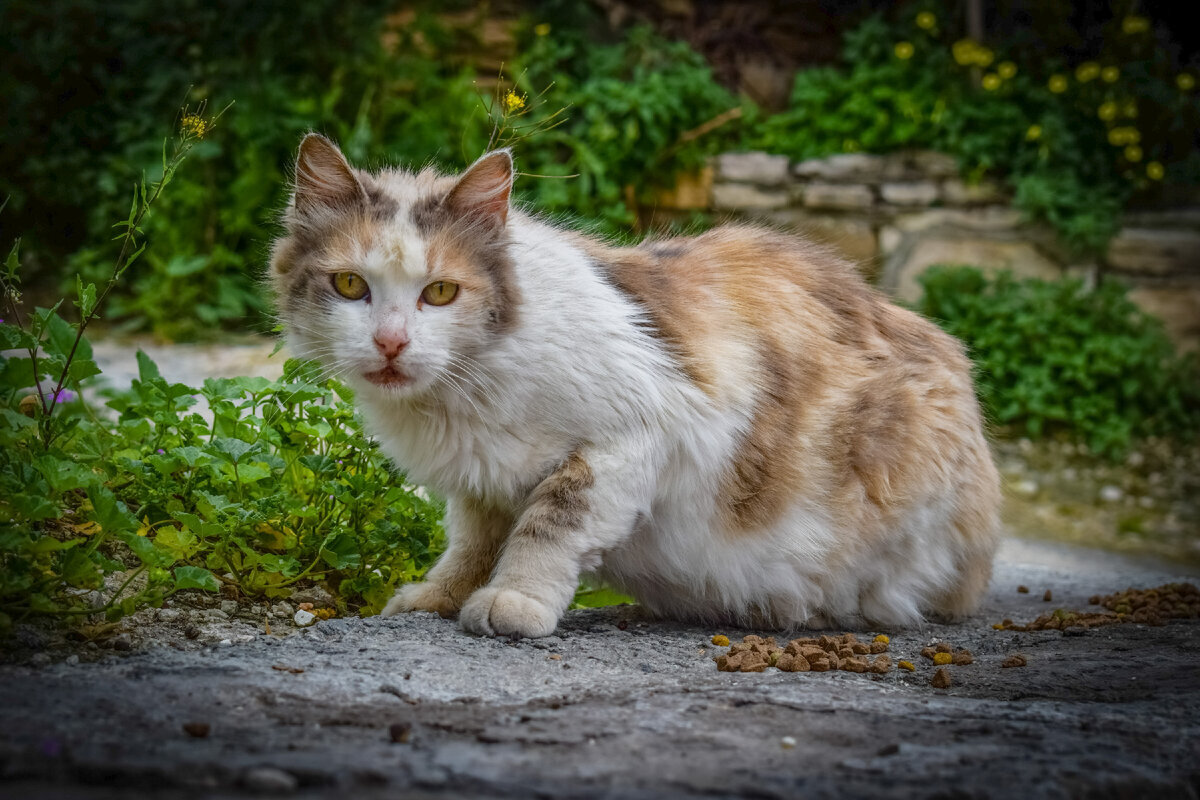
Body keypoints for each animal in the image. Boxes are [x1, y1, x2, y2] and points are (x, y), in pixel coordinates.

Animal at [272, 134, 1003, 642]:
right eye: (350, 286)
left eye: (442, 293)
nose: (391, 343)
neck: (463, 397)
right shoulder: (481, 484)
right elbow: (471, 545)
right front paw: (438, 598)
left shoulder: (635, 439)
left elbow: (548, 524)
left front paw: (516, 602)